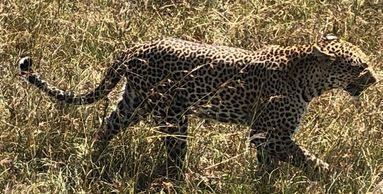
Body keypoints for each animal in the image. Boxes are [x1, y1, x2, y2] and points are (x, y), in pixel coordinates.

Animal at [18, 34, 378, 177]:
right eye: (359, 66)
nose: (375, 79)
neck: (310, 79)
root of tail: (136, 46)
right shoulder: (269, 133)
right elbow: (305, 158)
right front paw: (332, 177)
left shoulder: (266, 137)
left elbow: (270, 165)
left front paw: (266, 182)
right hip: (171, 116)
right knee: (174, 154)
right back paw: (179, 178)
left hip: (133, 102)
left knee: (106, 127)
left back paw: (92, 161)